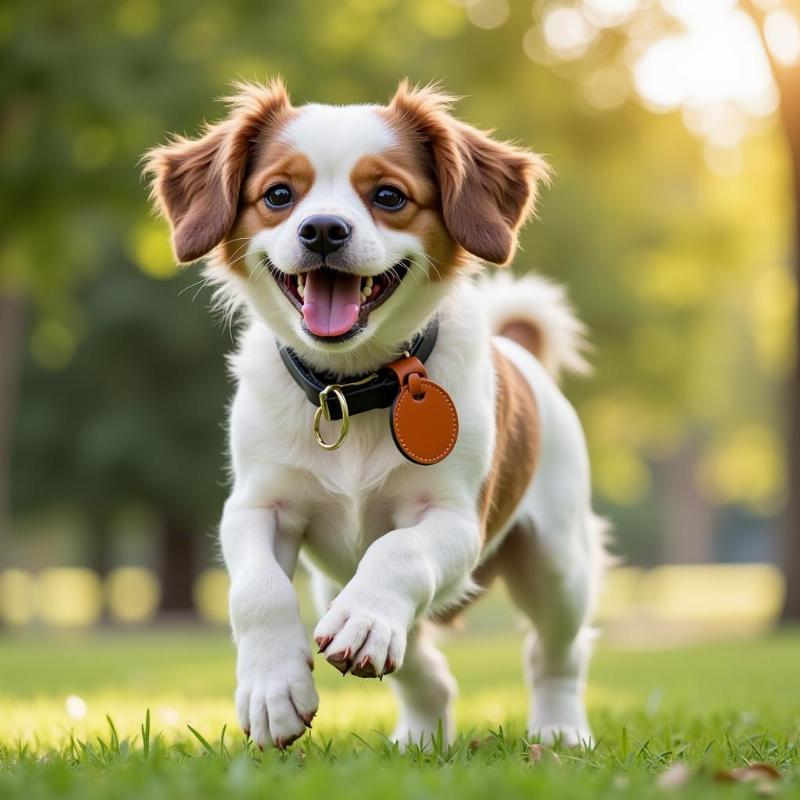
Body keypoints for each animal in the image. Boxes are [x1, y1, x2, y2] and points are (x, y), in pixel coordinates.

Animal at [145, 79, 608, 752]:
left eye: (388, 196)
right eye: (278, 195)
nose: (323, 230)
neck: (349, 388)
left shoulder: (455, 519)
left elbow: (399, 551)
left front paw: (366, 620)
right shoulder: (257, 506)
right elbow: (257, 589)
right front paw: (272, 686)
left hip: (559, 565)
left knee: (555, 656)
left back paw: (559, 730)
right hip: (332, 581)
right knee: (421, 666)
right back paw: (419, 732)